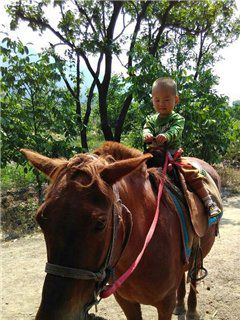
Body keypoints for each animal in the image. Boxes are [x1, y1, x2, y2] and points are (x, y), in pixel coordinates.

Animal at [20, 142, 219, 320]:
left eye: (100, 223)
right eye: (40, 220)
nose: (55, 315)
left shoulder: (165, 304)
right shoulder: (126, 302)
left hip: (198, 256)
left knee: (193, 278)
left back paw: (191, 310)